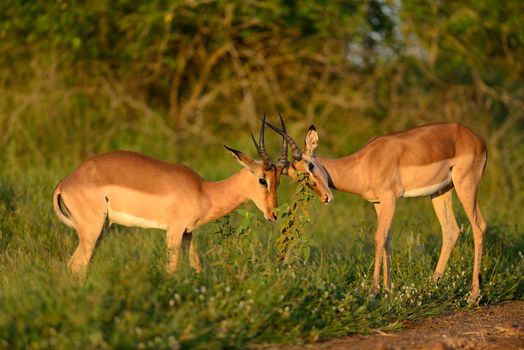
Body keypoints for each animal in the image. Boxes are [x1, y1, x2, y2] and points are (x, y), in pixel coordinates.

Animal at [51, 117, 288, 276]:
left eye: (278, 181)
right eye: (262, 180)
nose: (273, 214)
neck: (204, 191)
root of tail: (66, 182)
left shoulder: (188, 233)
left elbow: (196, 267)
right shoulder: (173, 231)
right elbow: (171, 270)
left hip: (102, 230)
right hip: (92, 231)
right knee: (76, 266)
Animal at [268, 118, 490, 304]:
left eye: (310, 166)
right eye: (297, 179)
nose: (326, 197)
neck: (364, 163)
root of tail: (478, 139)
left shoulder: (390, 199)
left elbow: (378, 238)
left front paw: (374, 292)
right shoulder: (378, 203)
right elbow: (387, 240)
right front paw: (387, 289)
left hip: (465, 186)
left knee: (478, 226)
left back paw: (473, 295)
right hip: (440, 192)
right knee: (452, 230)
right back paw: (428, 287)